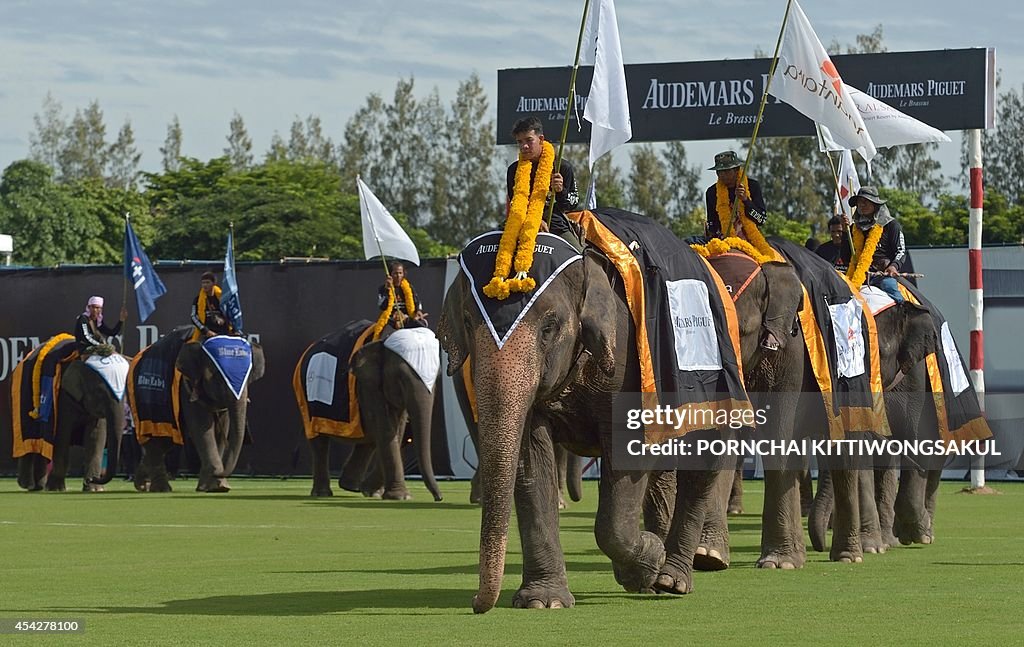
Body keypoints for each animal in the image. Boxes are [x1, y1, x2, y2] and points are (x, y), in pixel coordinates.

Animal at [14, 352, 125, 493]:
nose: (92, 479)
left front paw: (94, 489)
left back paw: (39, 486)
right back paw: (28, 485)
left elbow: (96, 435)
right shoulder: (62, 397)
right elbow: (62, 433)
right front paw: (56, 489)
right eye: (99, 392)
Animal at [134, 335, 264, 493]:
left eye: (248, 377)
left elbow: (221, 430)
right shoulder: (187, 387)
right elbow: (201, 428)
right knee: (157, 442)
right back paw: (160, 489)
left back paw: (143, 484)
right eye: (217, 377)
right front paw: (219, 486)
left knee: (164, 444)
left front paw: (214, 486)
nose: (220, 472)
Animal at [296, 335, 440, 503]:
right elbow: (387, 429)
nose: (438, 498)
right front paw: (400, 497)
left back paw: (352, 486)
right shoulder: (369, 385)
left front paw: (374, 492)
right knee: (319, 441)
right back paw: (323, 493)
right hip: (307, 398)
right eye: (401, 378)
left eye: (438, 376)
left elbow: (397, 430)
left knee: (368, 439)